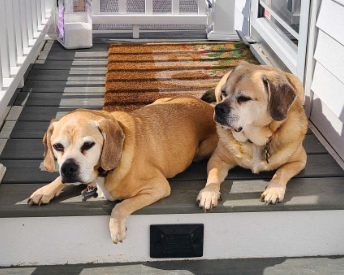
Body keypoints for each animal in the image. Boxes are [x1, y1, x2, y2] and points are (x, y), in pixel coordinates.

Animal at [29, 96, 218, 244]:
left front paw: (116, 230)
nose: (68, 168)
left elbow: (121, 205)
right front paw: (45, 190)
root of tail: (205, 105)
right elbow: (58, 180)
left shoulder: (158, 187)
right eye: (57, 146)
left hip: (201, 150)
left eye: (88, 145)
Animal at [198, 61, 308, 209]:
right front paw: (209, 192)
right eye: (224, 93)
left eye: (244, 98)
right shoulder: (218, 158)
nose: (219, 108)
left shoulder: (299, 161)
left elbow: (281, 172)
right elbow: (213, 175)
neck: (255, 140)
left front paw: (274, 190)